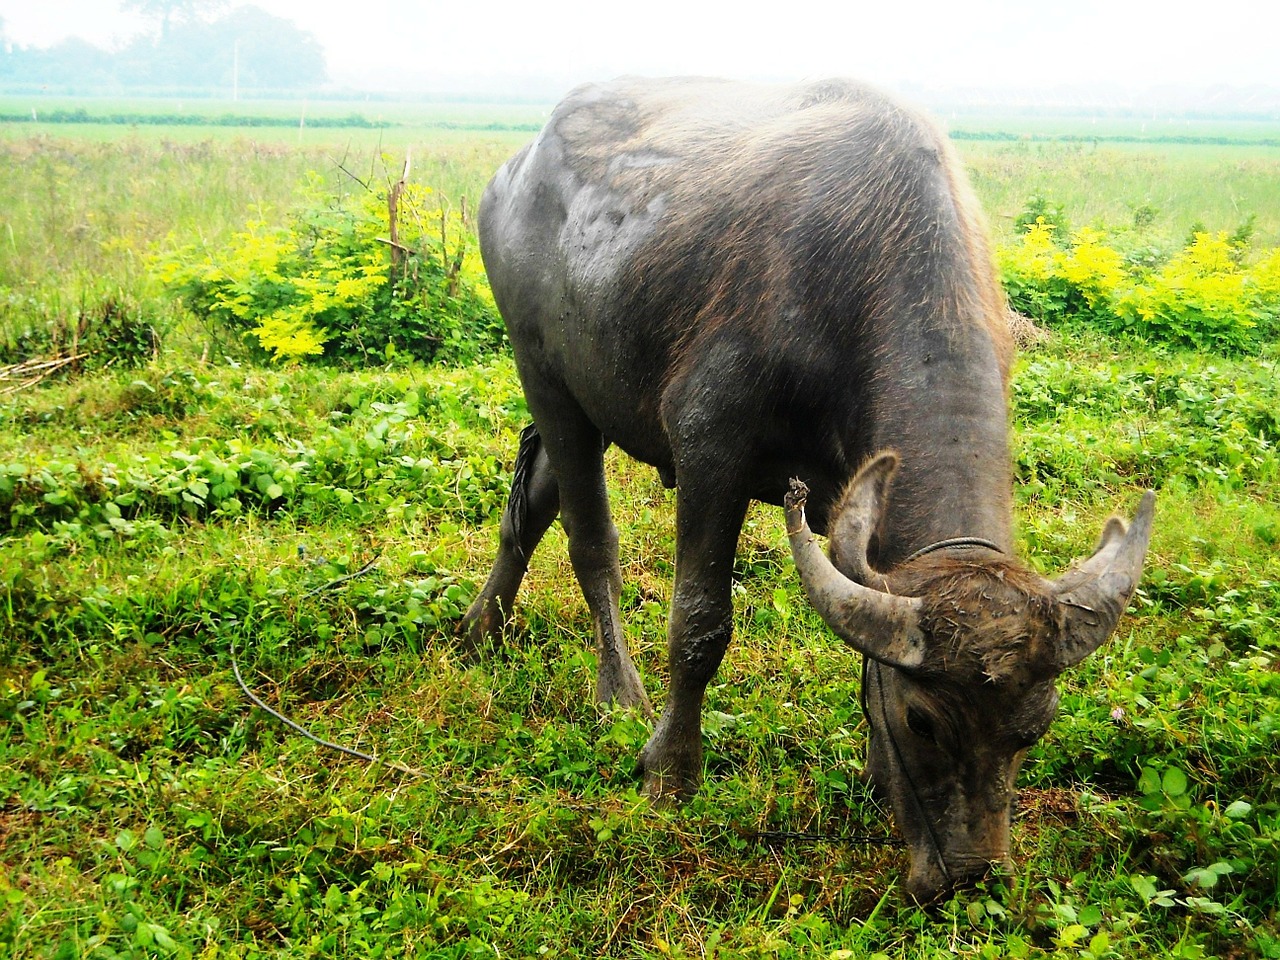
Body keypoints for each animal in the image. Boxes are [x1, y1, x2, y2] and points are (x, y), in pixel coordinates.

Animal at [463, 75, 1162, 901]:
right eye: (924, 720)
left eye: (1036, 725)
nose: (969, 875)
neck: (860, 262)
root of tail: (517, 169)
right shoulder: (710, 447)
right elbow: (699, 623)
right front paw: (670, 770)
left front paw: (874, 770)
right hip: (544, 373)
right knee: (589, 538)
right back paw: (617, 692)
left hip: (593, 393)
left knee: (533, 502)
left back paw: (480, 626)